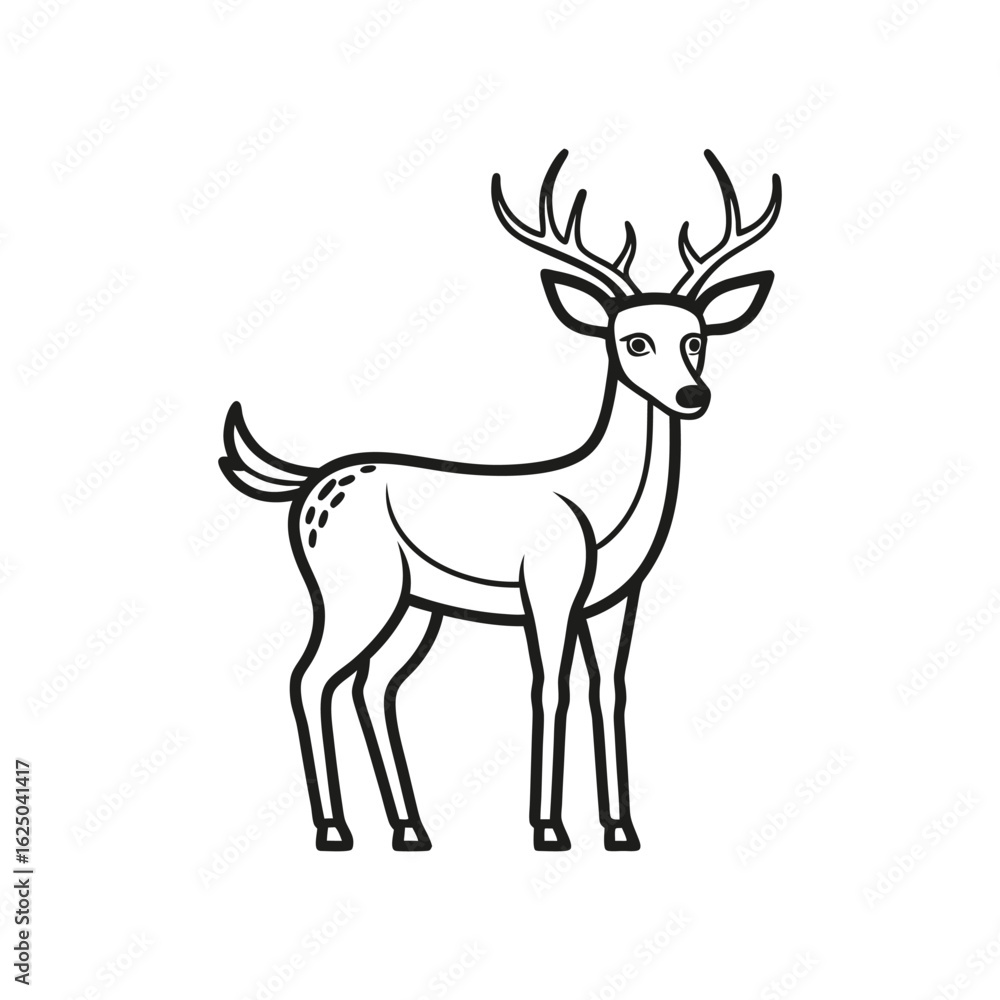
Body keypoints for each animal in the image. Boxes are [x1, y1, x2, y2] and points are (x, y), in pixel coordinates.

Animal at [220, 149, 781, 852]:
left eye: (697, 338)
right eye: (634, 340)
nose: (692, 396)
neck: (604, 508)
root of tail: (310, 483)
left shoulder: (617, 599)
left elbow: (610, 690)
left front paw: (620, 828)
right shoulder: (547, 587)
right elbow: (550, 687)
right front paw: (548, 828)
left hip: (416, 605)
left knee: (372, 686)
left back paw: (410, 828)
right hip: (354, 586)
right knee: (309, 677)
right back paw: (333, 829)